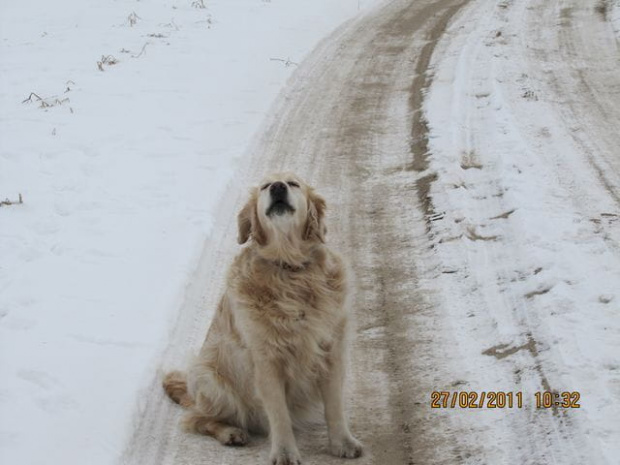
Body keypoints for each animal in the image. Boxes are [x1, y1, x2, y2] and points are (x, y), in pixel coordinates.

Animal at [163, 171, 364, 464]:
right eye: (265, 186)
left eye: (293, 184)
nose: (278, 187)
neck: (289, 268)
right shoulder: (266, 359)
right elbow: (278, 414)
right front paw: (285, 452)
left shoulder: (330, 351)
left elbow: (334, 406)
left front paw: (343, 442)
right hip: (211, 377)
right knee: (198, 419)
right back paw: (230, 433)